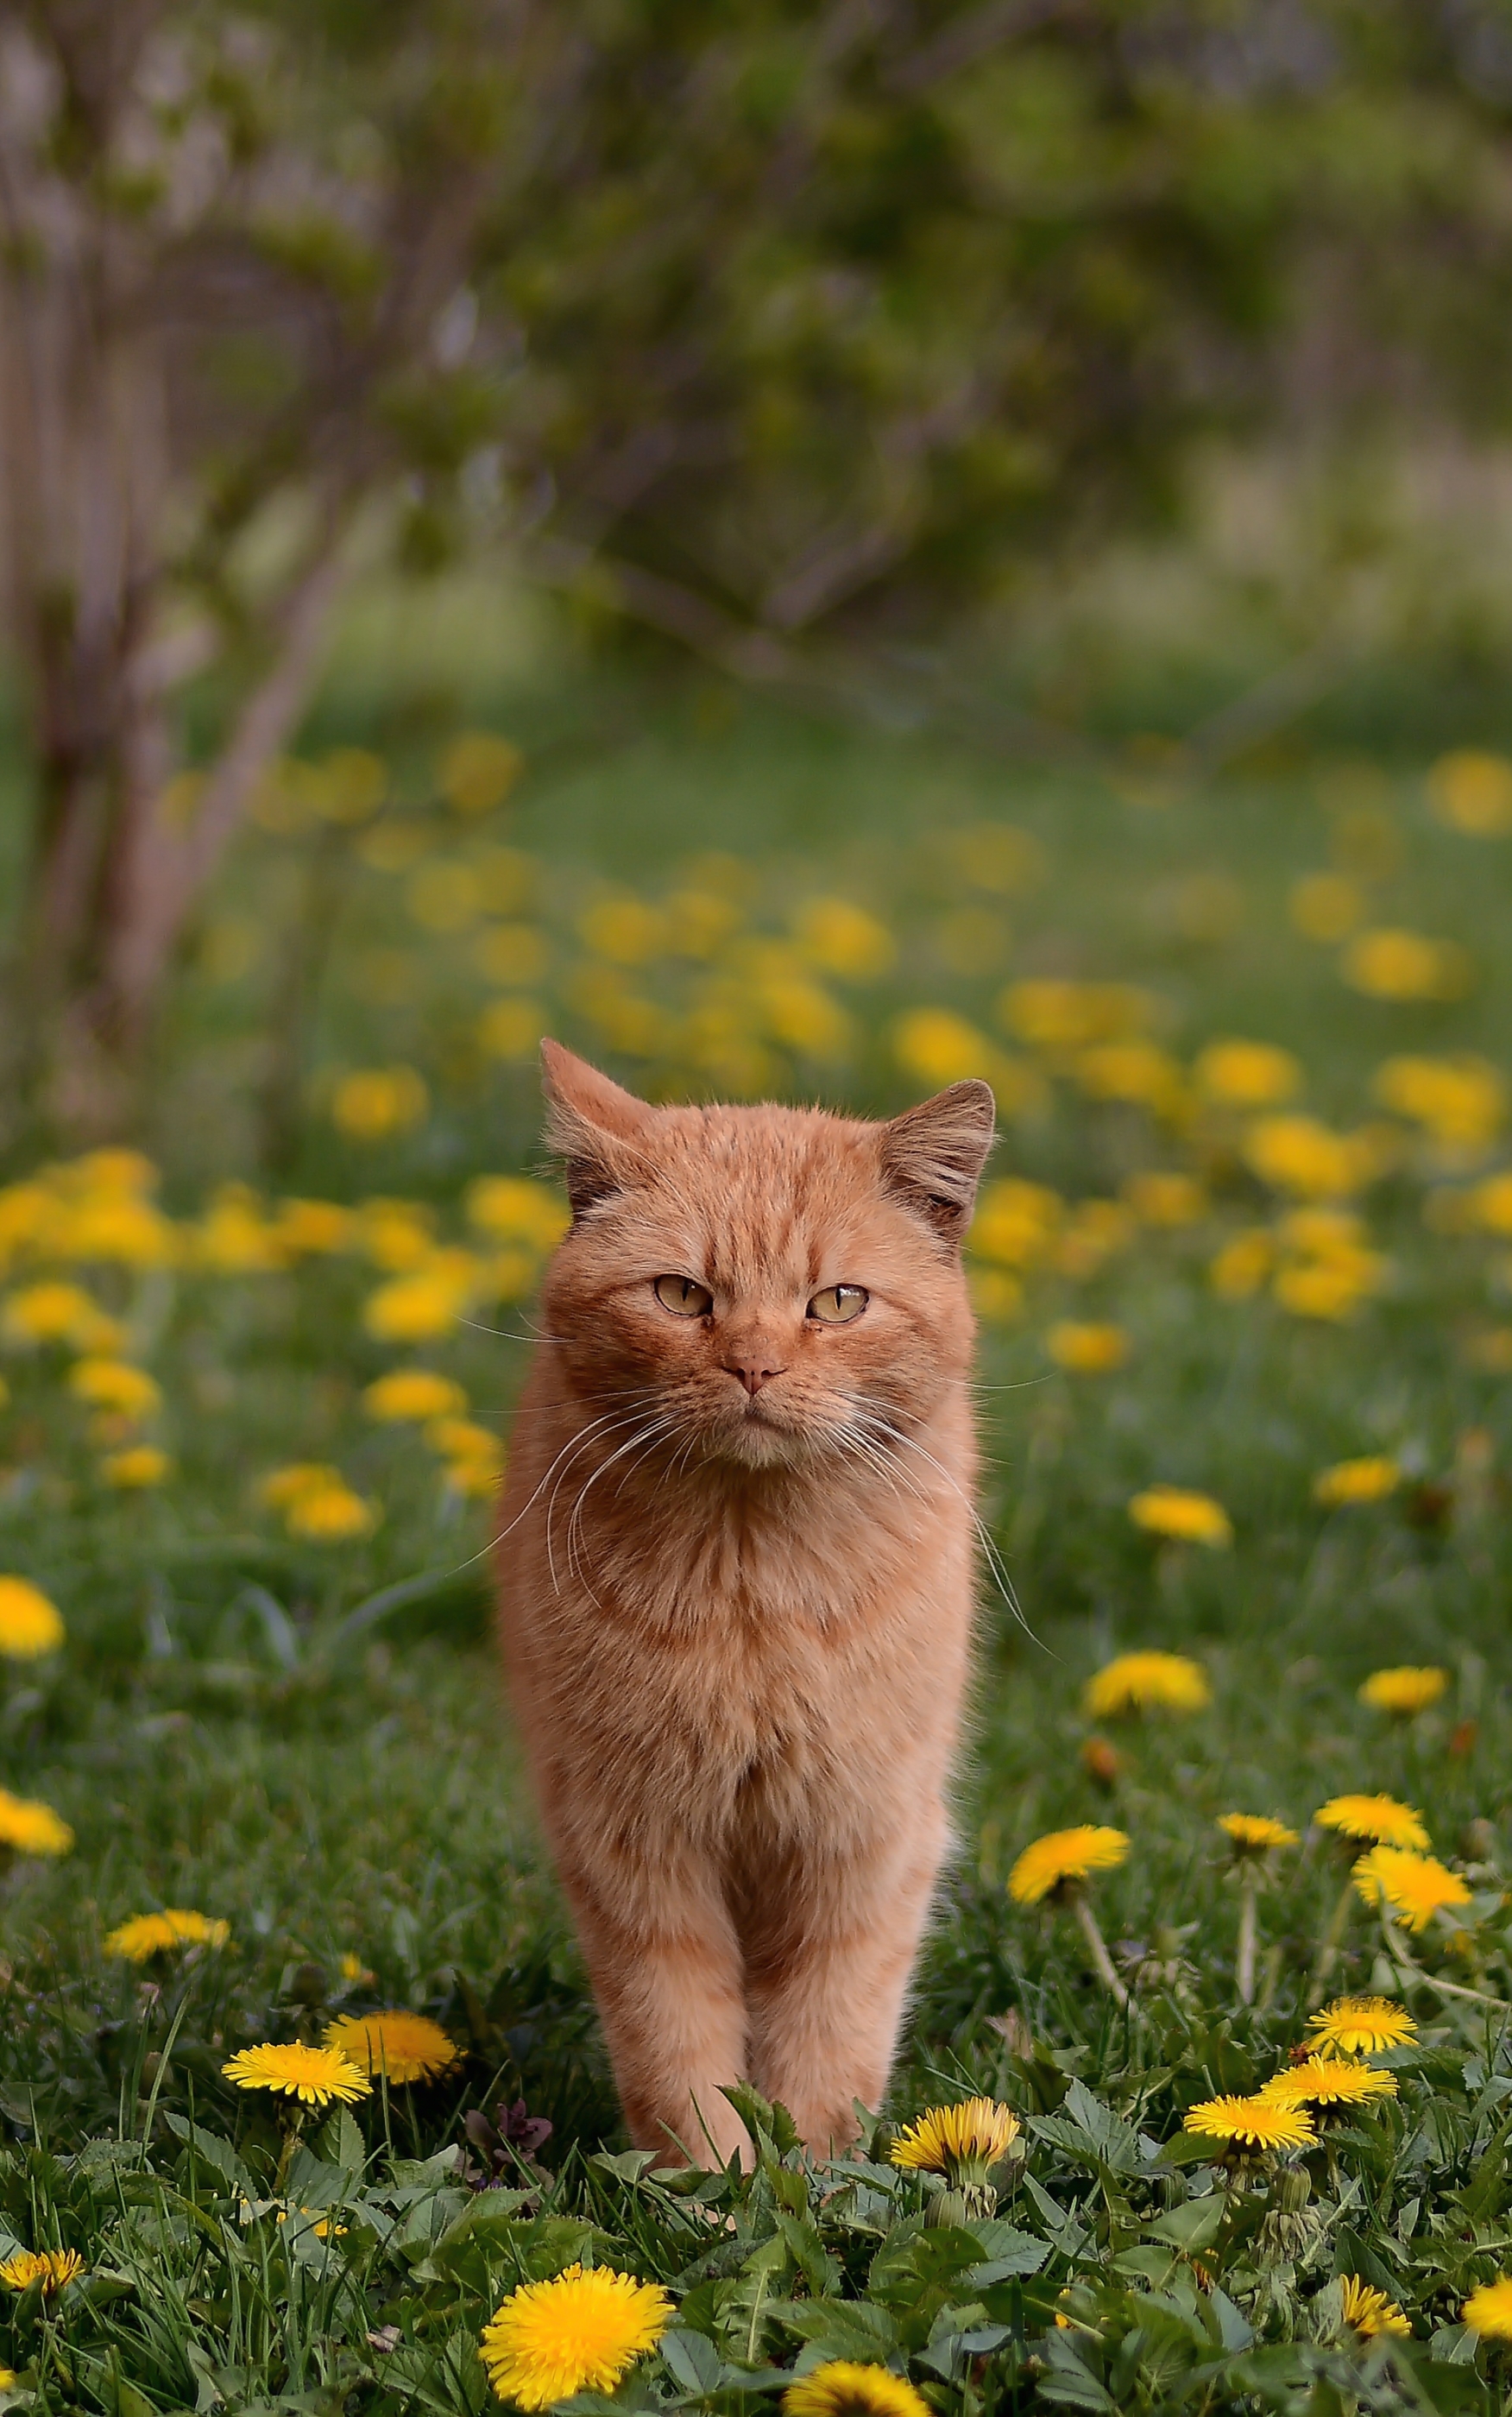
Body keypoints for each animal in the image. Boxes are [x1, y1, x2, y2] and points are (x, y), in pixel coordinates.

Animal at [492, 1044, 990, 2175]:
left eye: (837, 1302)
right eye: (682, 1294)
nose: (754, 1366)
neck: (751, 1589)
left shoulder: (863, 1835)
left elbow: (831, 2030)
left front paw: (810, 2178)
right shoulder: (636, 1847)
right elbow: (674, 2041)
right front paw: (712, 2184)